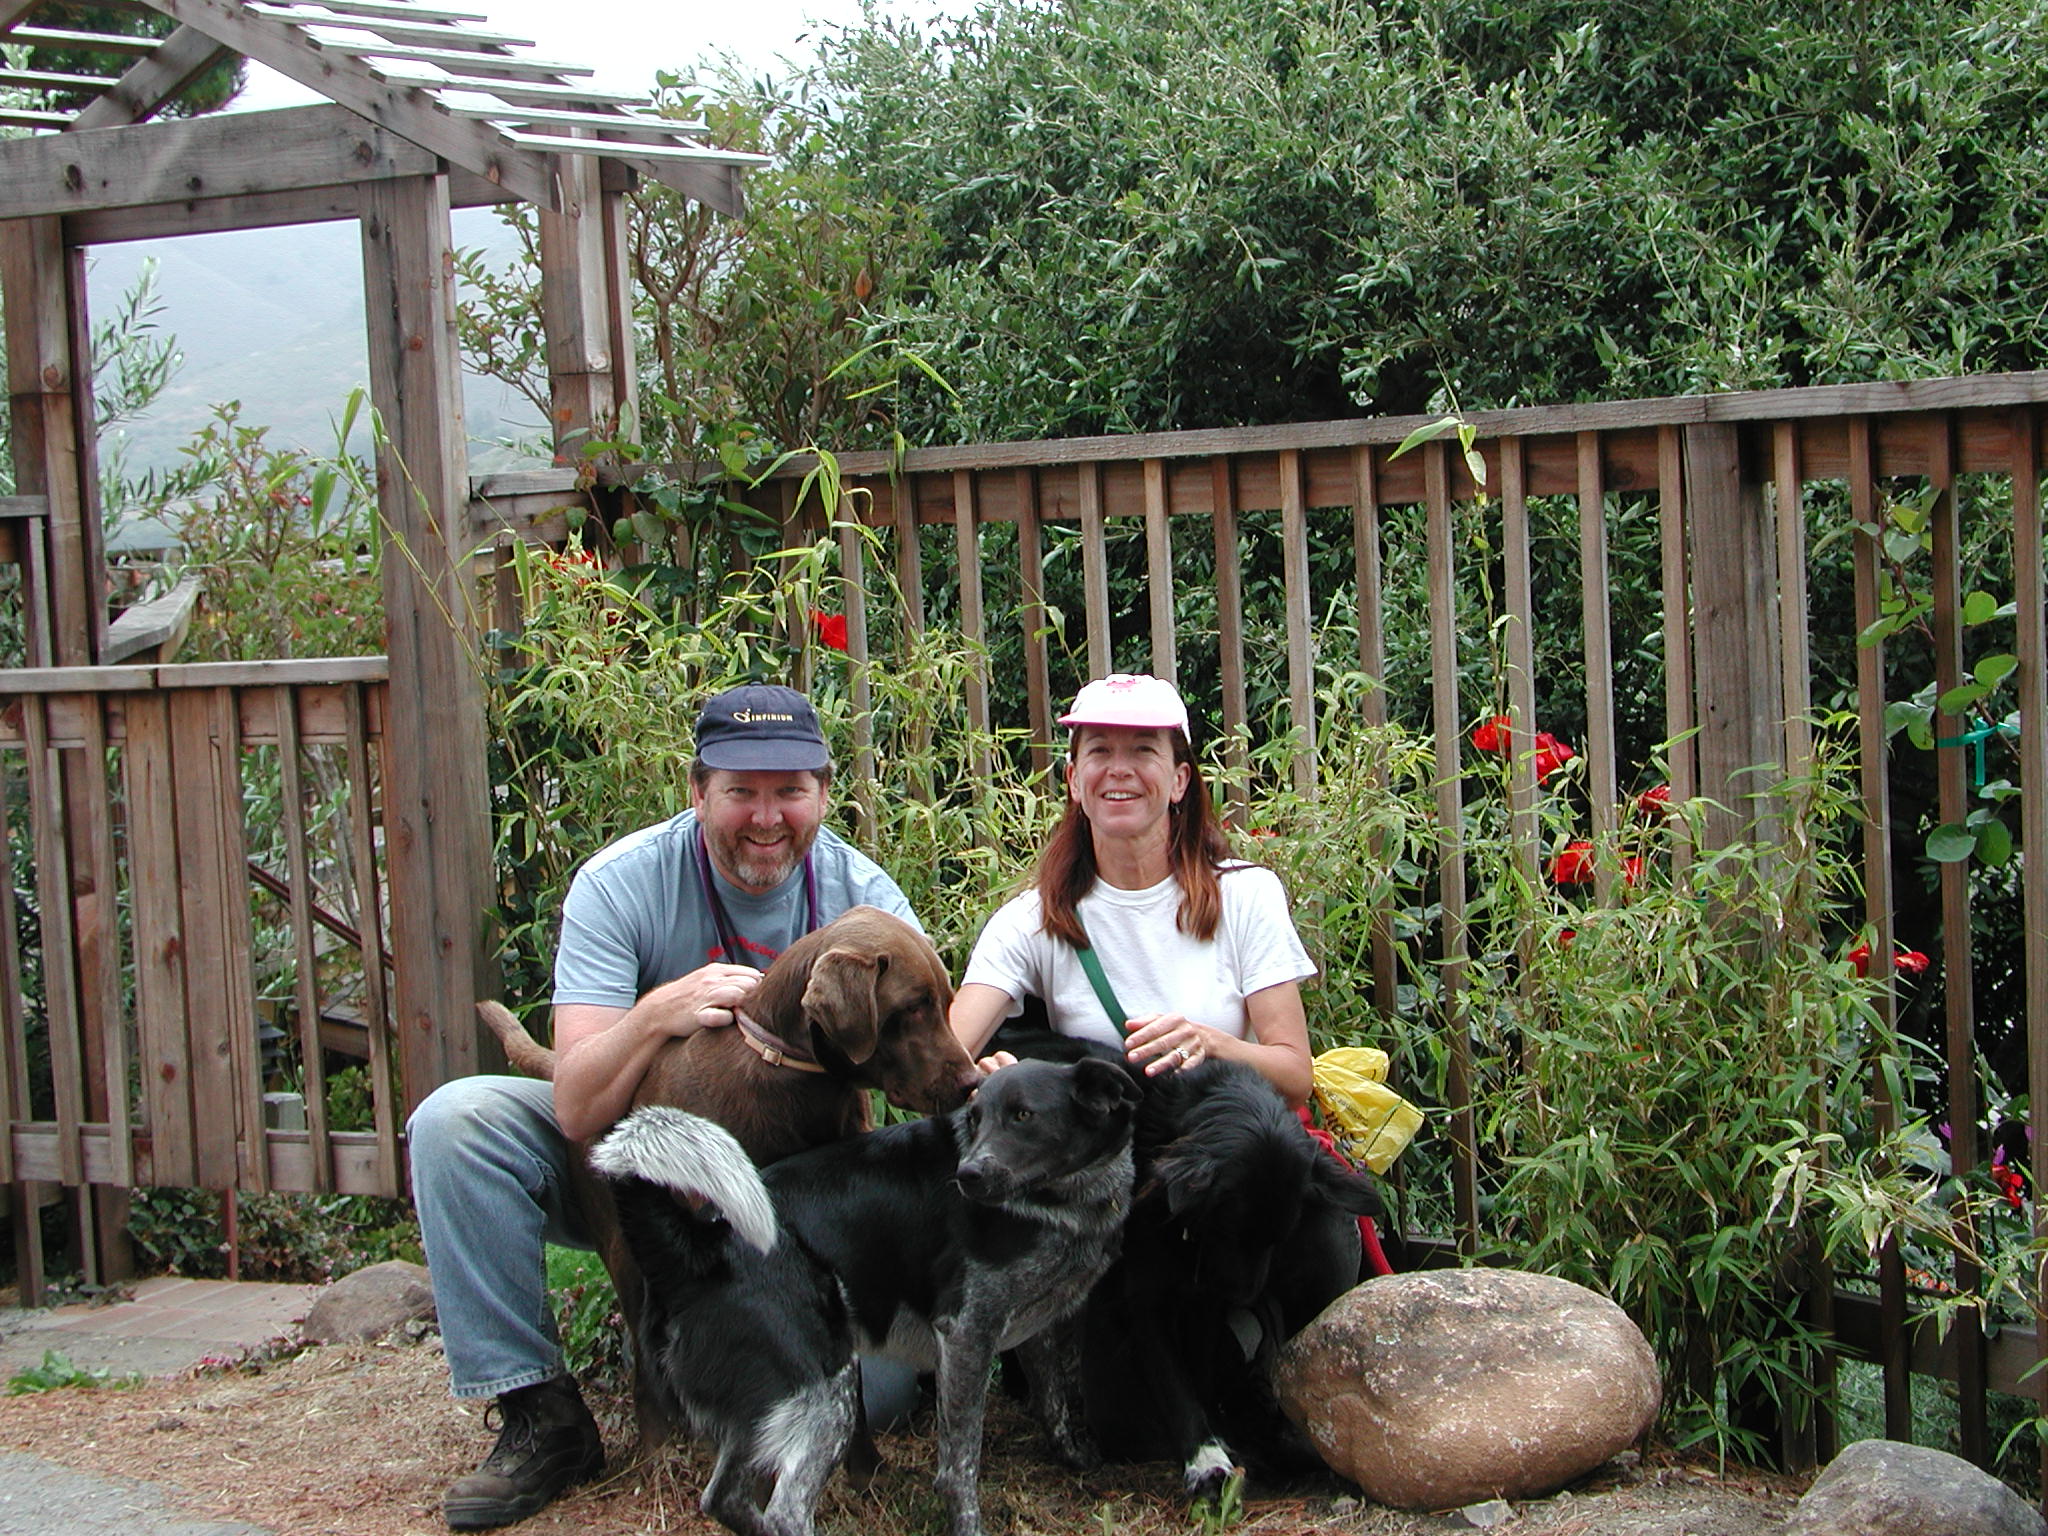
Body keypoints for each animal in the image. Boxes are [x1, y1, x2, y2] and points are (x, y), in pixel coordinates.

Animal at [589, 1056, 1143, 1536]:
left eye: (1024, 1116)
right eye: (976, 1119)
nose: (967, 1175)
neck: (1064, 1202)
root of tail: (699, 1247)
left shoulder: (1033, 1325)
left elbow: (1054, 1404)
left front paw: (1077, 1459)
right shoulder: (966, 1333)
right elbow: (960, 1467)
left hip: (768, 1403)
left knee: (723, 1498)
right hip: (823, 1391)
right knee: (785, 1511)